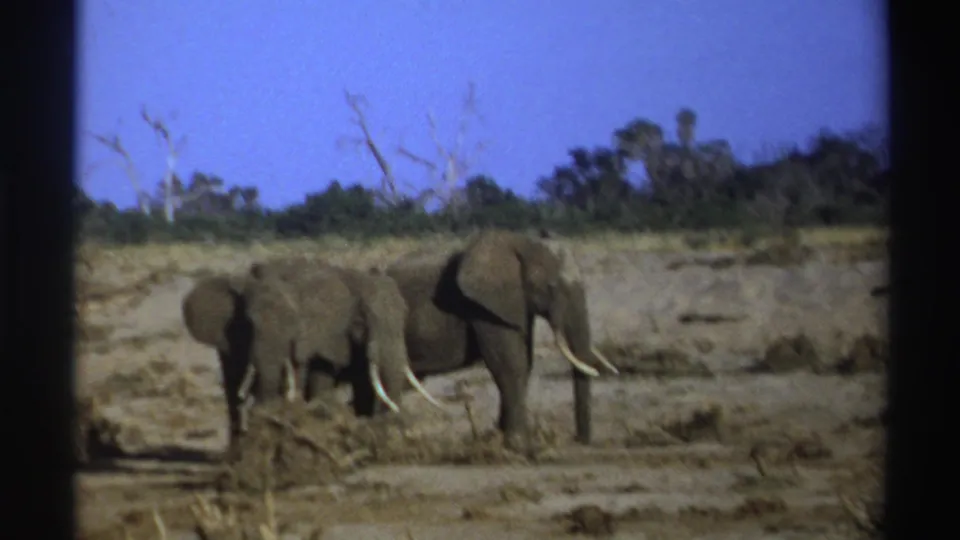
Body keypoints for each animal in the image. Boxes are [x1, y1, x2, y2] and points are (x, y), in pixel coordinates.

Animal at [385, 228, 618, 453]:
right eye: (551, 287)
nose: (578, 440)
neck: (521, 242)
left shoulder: (514, 304)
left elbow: (524, 362)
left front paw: (496, 439)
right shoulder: (485, 307)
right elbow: (510, 364)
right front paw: (519, 446)